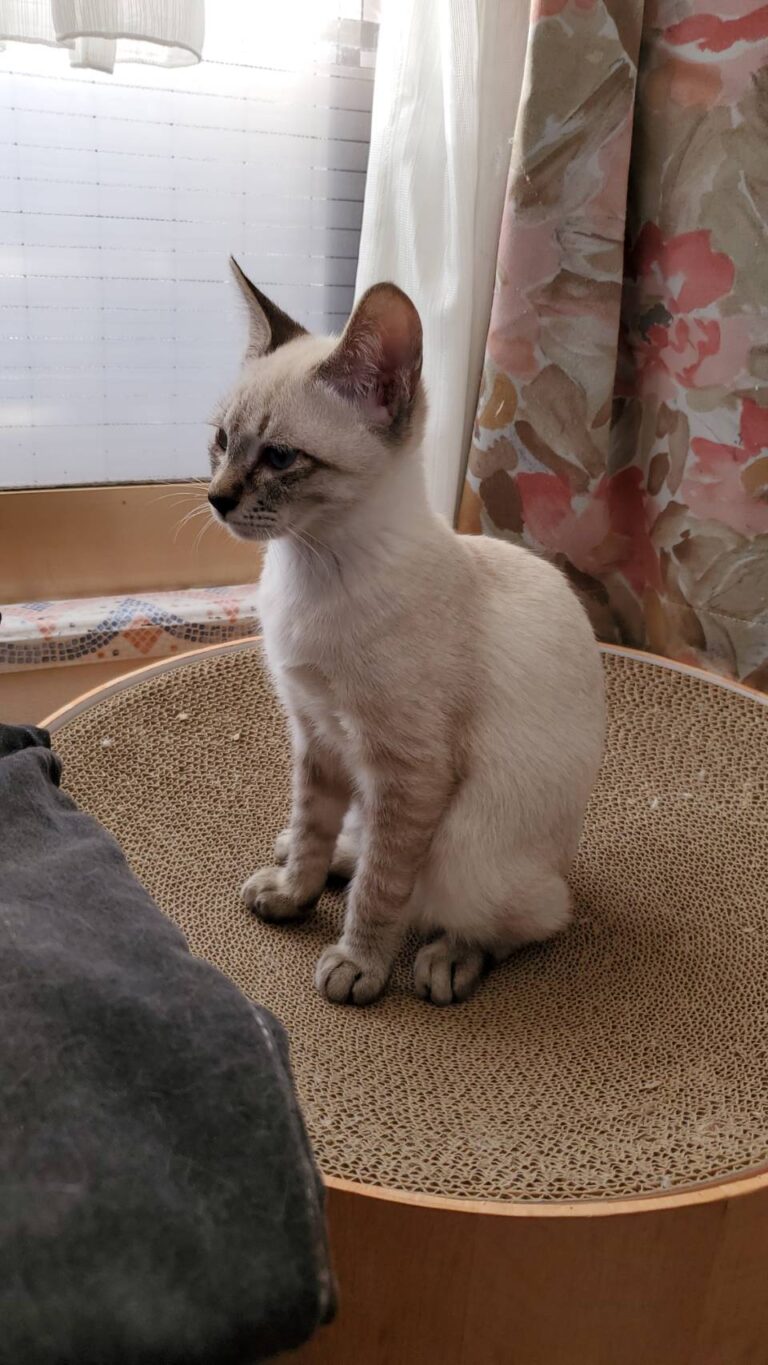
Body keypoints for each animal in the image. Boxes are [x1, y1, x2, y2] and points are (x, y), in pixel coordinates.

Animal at [207, 259, 606, 1007]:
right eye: (220, 441)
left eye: (280, 457)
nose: (215, 498)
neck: (311, 567)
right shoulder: (316, 734)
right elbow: (312, 827)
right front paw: (295, 892)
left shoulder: (408, 771)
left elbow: (381, 890)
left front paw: (357, 964)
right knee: (344, 842)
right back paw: (306, 862)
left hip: (467, 850)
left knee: (519, 920)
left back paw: (446, 962)